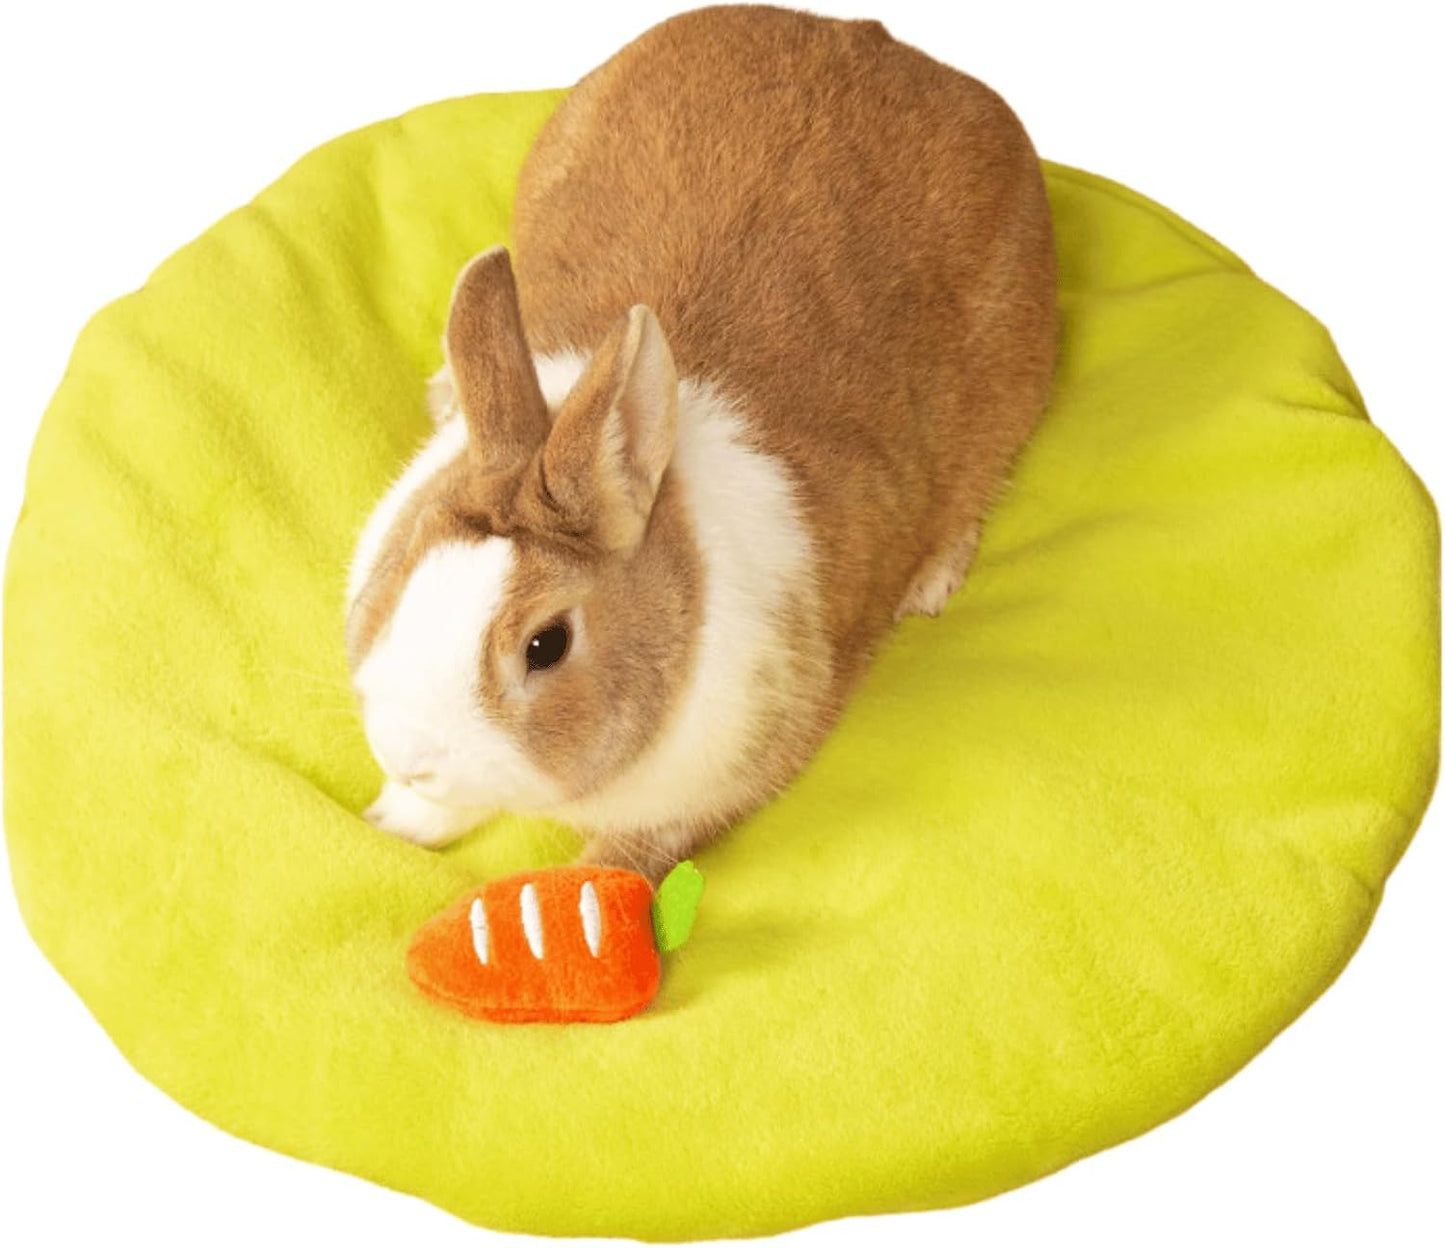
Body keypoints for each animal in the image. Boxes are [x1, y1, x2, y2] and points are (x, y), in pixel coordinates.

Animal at [344, 5, 1056, 881]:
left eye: (547, 645)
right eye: (400, 564)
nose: (409, 756)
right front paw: (388, 821)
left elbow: (623, 858)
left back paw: (926, 583)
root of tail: (870, 36)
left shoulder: (710, 786)